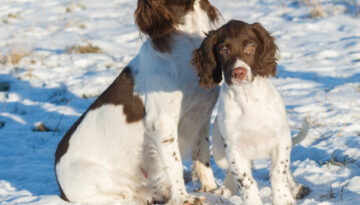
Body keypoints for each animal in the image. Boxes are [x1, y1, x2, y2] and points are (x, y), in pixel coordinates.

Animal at [54, 0, 221, 204]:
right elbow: (174, 164)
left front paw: (212, 189)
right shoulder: (162, 122)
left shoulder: (201, 117)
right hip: (94, 174)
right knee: (123, 194)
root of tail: (61, 187)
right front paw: (183, 198)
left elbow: (203, 156)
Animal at [191, 19, 310, 205]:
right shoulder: (234, 148)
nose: (239, 72)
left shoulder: (281, 140)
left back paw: (295, 187)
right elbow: (246, 180)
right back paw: (227, 187)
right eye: (223, 50)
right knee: (229, 170)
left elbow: (278, 172)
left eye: (250, 46)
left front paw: (284, 199)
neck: (247, 97)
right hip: (219, 152)